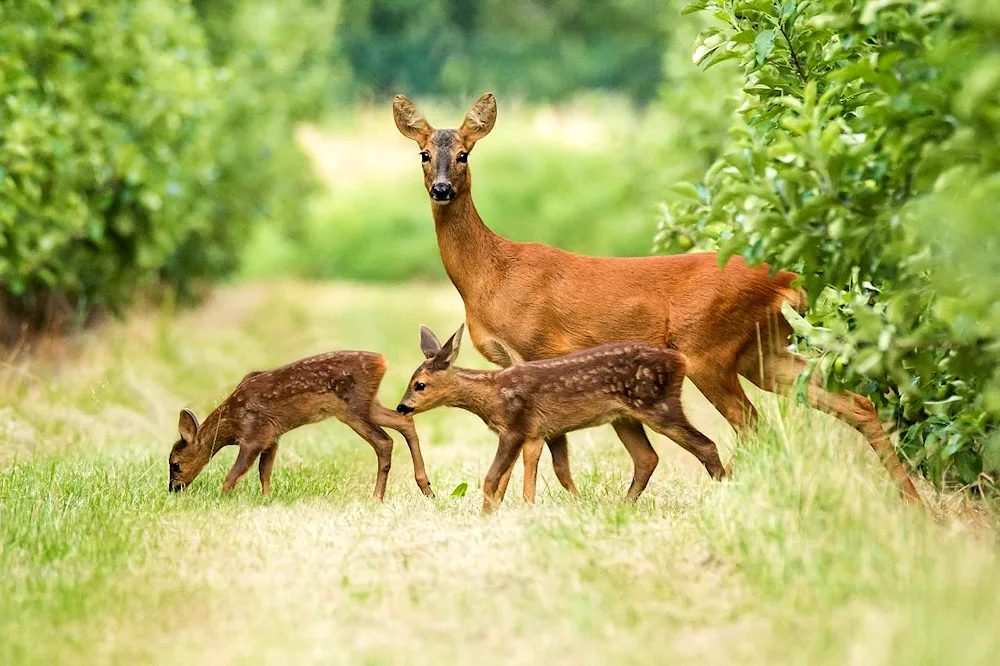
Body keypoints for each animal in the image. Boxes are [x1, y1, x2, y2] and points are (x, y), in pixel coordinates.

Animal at [168, 348, 434, 498]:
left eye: (175, 464)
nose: (173, 489)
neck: (231, 420)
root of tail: (381, 361)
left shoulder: (255, 433)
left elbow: (235, 473)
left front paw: (222, 498)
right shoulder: (273, 436)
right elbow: (265, 471)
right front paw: (266, 499)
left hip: (353, 408)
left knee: (384, 441)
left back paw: (378, 496)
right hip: (368, 405)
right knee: (404, 420)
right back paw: (426, 488)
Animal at [394, 324, 724, 510]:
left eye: (419, 384)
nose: (402, 407)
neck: (493, 394)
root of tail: (680, 360)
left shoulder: (516, 426)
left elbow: (491, 478)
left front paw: (488, 515)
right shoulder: (540, 432)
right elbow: (546, 471)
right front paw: (531, 508)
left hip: (657, 404)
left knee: (705, 444)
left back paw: (725, 491)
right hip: (624, 417)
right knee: (647, 458)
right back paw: (622, 505)